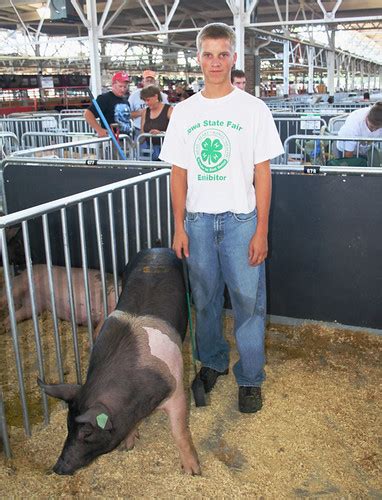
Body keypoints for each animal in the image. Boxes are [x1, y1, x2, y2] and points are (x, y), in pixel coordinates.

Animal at [37, 248, 201, 474]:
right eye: (68, 426)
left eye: (87, 433)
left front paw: (193, 472)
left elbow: (179, 432)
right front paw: (128, 446)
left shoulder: (176, 390)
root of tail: (157, 248)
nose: (58, 468)